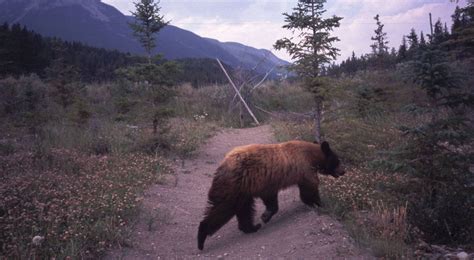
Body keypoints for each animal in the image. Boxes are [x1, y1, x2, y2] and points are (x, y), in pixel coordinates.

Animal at [196, 141, 344, 251]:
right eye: (338, 160)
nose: (343, 171)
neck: (311, 155)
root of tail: (223, 164)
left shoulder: (268, 182)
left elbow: (271, 199)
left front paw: (265, 216)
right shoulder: (304, 169)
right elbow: (309, 189)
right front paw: (319, 203)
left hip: (243, 189)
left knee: (243, 209)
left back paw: (251, 227)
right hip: (233, 185)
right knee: (223, 207)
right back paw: (201, 237)